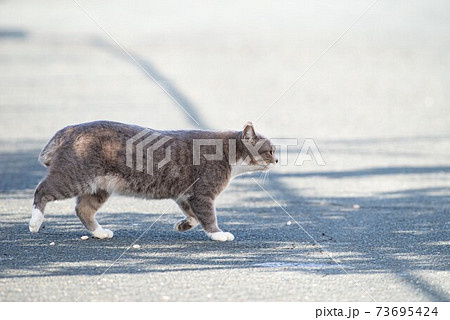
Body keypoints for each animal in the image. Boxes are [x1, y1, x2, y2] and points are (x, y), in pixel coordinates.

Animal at [29, 121, 278, 241]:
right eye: (269, 151)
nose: (276, 160)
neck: (226, 153)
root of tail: (72, 128)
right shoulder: (203, 194)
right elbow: (208, 217)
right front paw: (218, 234)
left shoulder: (185, 194)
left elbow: (194, 216)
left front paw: (183, 225)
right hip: (73, 177)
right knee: (42, 191)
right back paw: (34, 222)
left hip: (99, 188)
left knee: (83, 209)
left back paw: (100, 232)